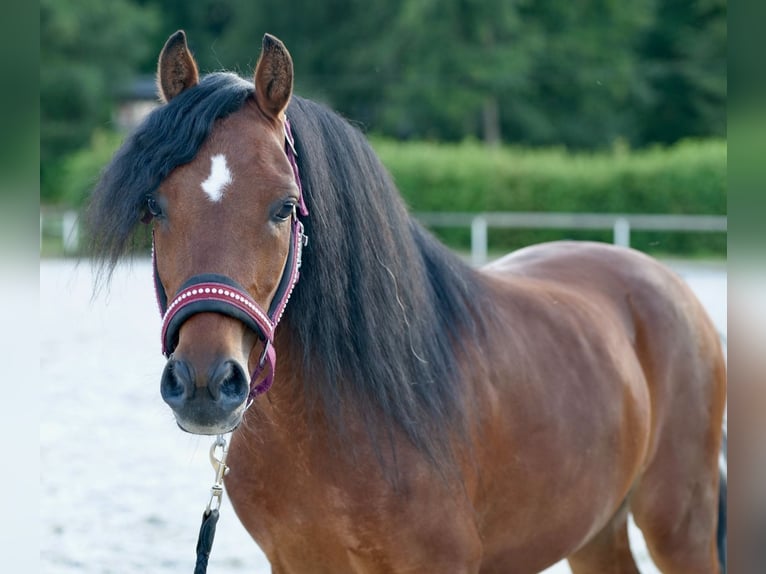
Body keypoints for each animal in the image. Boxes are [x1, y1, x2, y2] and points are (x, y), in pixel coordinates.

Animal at [87, 31, 728, 574]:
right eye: (155, 207)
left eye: (285, 207)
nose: (203, 383)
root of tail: (666, 284)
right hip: (596, 530)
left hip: (679, 525)